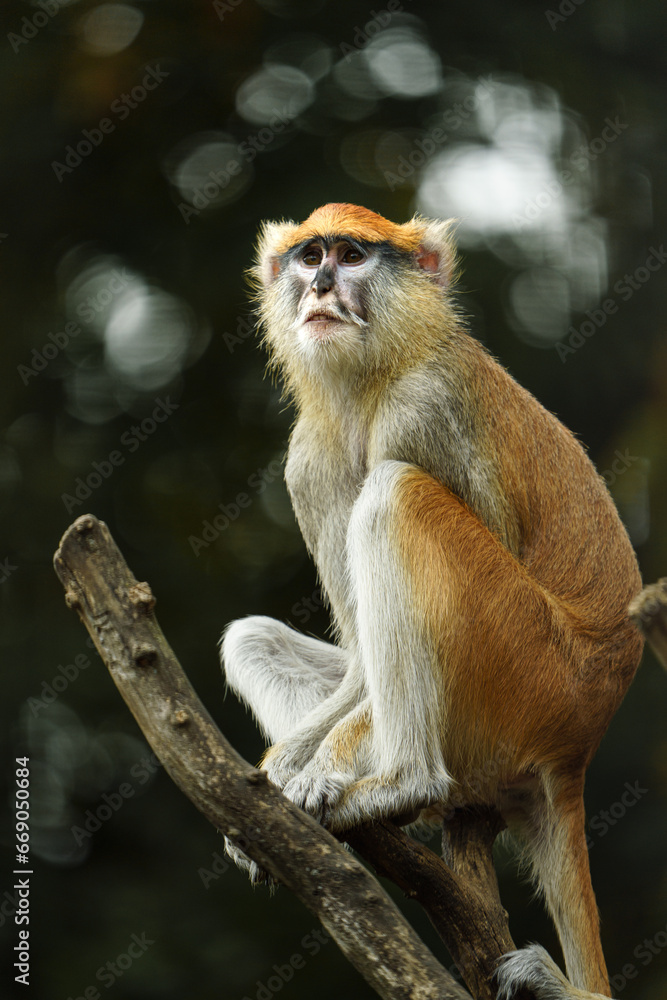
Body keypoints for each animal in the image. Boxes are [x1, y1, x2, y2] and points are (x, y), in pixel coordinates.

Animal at [220, 203, 643, 999]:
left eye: (352, 256)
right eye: (309, 256)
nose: (320, 286)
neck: (374, 375)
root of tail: (578, 743)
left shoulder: (426, 411)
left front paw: (316, 775)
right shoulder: (308, 461)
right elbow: (358, 664)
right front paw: (277, 778)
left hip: (525, 667)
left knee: (395, 498)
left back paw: (399, 784)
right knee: (251, 637)